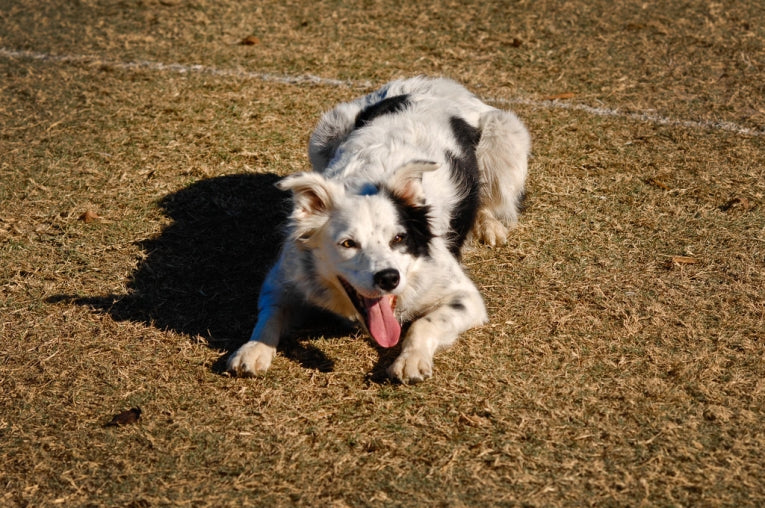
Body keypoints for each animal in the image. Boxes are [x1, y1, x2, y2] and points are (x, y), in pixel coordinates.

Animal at [224, 77, 528, 382]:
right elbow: (270, 314)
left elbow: (425, 322)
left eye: (399, 238)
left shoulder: (464, 296)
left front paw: (411, 359)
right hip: (326, 132)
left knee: (493, 199)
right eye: (348, 244)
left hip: (505, 135)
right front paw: (253, 350)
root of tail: (435, 80)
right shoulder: (283, 279)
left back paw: (488, 225)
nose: (389, 278)